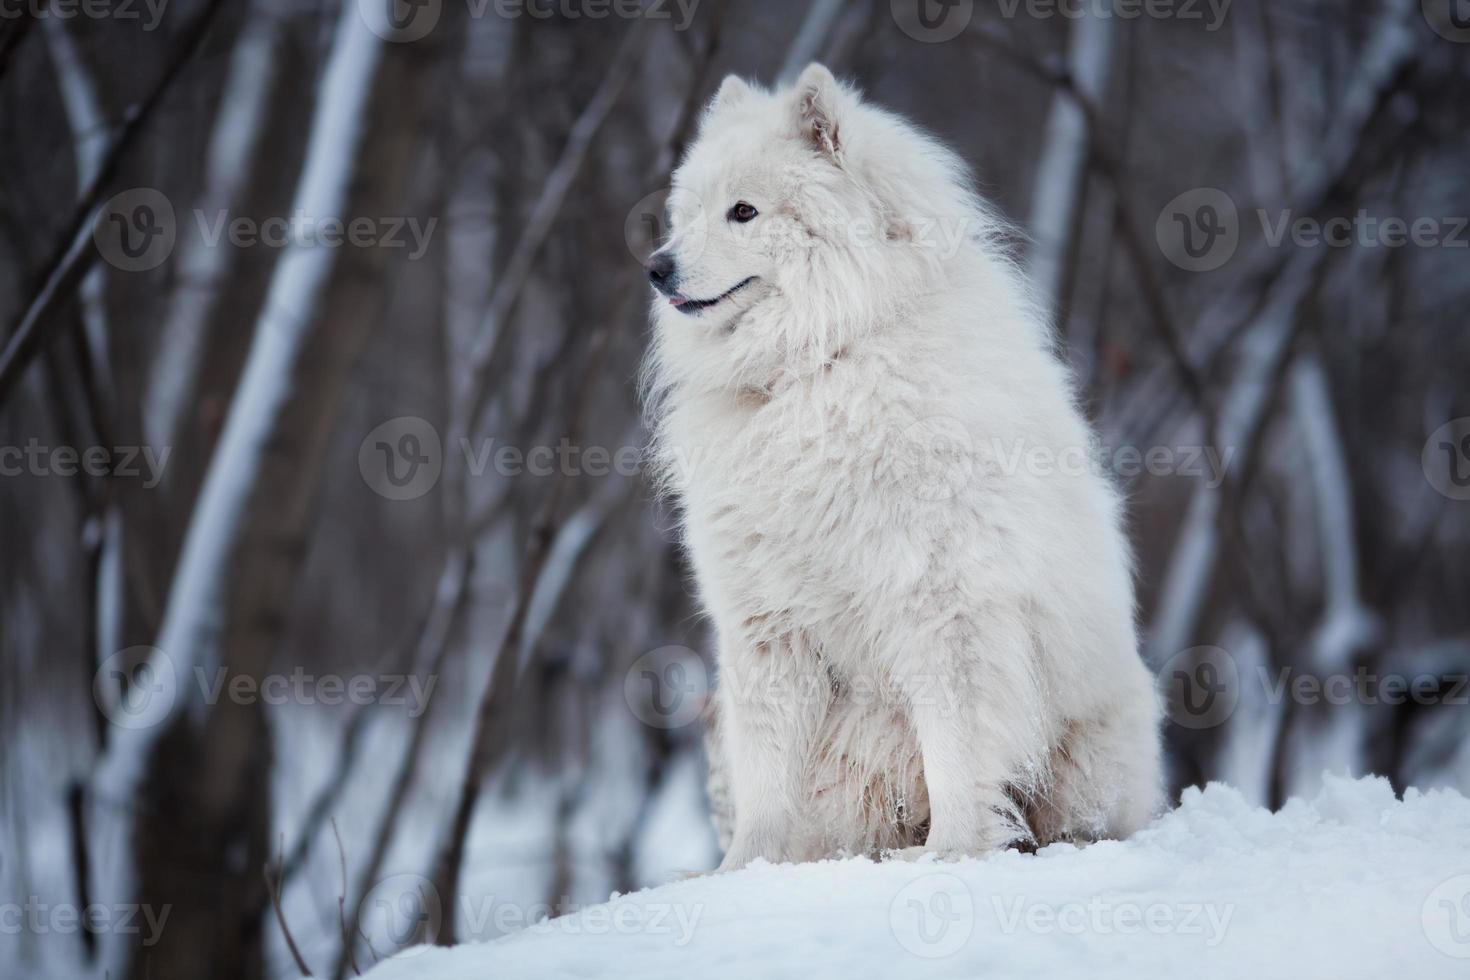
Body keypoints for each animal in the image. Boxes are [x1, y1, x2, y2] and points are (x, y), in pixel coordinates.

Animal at [640, 63, 1158, 875]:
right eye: (687, 214)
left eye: (744, 212)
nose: (656, 267)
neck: (821, 360)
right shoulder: (766, 623)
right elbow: (767, 775)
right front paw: (740, 875)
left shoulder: (945, 604)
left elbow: (957, 753)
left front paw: (950, 856)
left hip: (1086, 749)